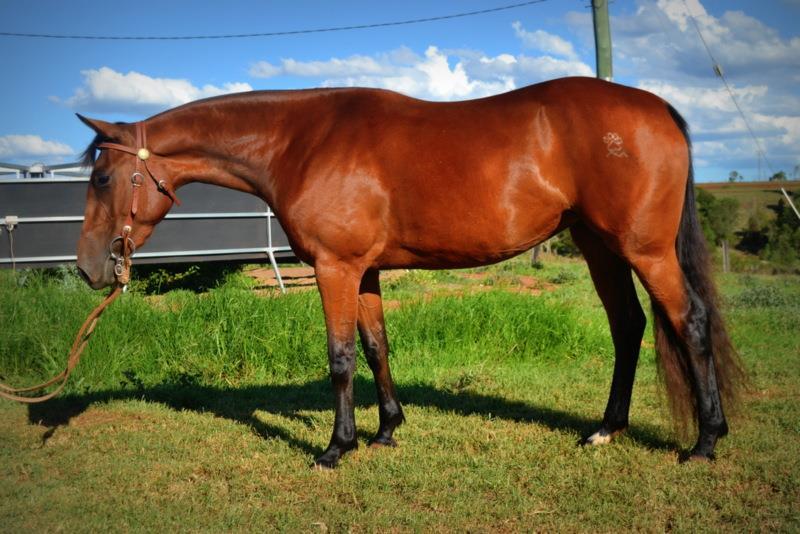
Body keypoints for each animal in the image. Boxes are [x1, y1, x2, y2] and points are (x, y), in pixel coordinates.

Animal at [75, 76, 743, 468]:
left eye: (103, 177)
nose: (87, 268)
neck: (303, 142)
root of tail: (657, 107)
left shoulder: (336, 268)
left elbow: (340, 356)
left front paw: (335, 448)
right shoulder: (364, 271)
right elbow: (376, 347)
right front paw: (385, 431)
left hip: (645, 250)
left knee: (690, 322)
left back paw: (706, 441)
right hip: (598, 245)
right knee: (628, 327)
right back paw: (606, 430)